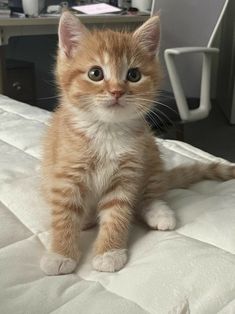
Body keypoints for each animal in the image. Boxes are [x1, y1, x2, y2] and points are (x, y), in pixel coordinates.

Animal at [40, 11, 235, 274]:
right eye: (95, 73)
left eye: (133, 75)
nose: (116, 91)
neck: (107, 132)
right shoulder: (66, 173)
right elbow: (64, 215)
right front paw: (60, 253)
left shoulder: (127, 174)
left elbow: (118, 213)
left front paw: (109, 252)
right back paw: (86, 220)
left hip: (151, 155)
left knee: (152, 192)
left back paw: (159, 213)